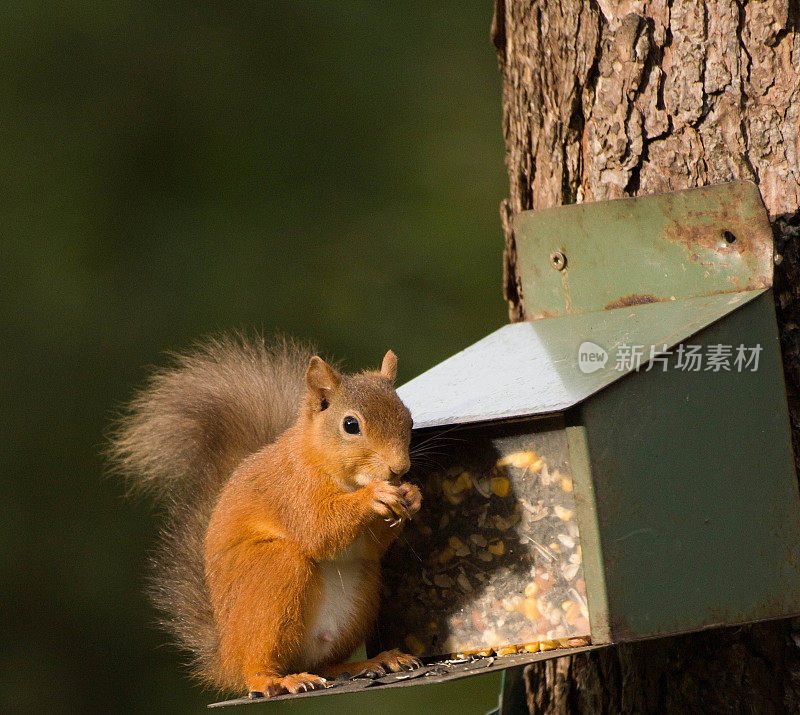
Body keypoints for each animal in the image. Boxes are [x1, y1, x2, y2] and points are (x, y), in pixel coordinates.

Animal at [112, 338, 424, 700]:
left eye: (409, 420)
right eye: (350, 425)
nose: (399, 469)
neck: (321, 459)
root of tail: (227, 659)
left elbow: (367, 547)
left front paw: (412, 495)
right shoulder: (292, 491)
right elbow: (318, 530)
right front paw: (375, 497)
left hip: (362, 591)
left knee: (324, 664)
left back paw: (371, 662)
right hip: (272, 573)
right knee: (259, 668)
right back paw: (275, 680)